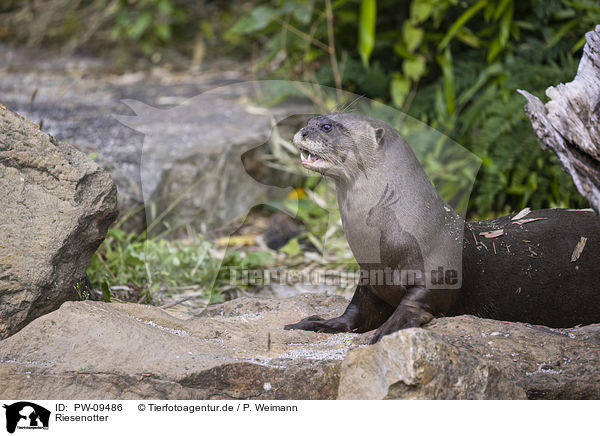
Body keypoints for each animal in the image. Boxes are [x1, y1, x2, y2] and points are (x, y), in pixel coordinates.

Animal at [284, 113, 600, 344]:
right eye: (312, 120)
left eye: (326, 127)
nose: (303, 131)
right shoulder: (370, 279)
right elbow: (355, 311)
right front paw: (319, 323)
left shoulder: (437, 273)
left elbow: (417, 304)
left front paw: (389, 328)